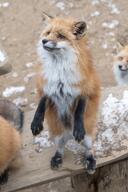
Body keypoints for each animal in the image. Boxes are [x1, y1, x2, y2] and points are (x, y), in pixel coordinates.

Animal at [31, 13, 101, 174]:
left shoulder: (85, 89)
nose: (44, 41)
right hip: (57, 133)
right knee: (60, 147)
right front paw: (36, 122)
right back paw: (57, 158)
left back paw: (90, 160)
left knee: (89, 149)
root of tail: (68, 133)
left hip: (88, 136)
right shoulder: (47, 87)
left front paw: (78, 128)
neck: (59, 73)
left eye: (60, 36)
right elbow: (40, 105)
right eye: (48, 33)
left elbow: (79, 111)